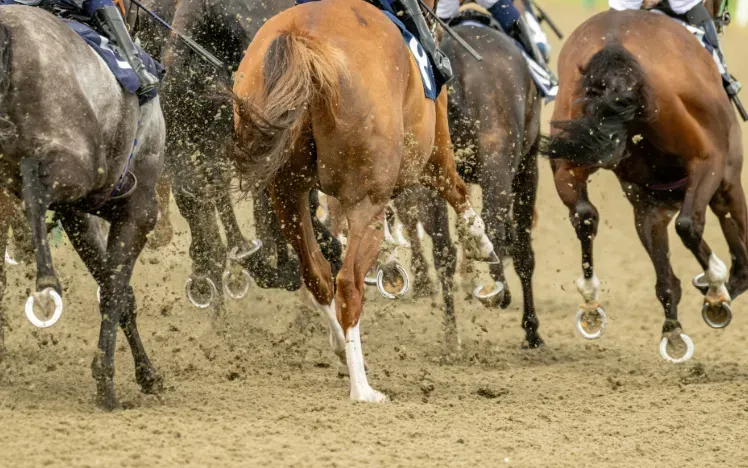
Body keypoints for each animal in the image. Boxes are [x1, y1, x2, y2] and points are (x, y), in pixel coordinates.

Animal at [0, 5, 166, 409]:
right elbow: (116, 292)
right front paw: (107, 379)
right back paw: (46, 276)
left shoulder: (77, 215)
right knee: (34, 188)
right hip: (73, 165)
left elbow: (119, 292)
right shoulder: (139, 213)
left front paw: (146, 373)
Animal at [230, 0, 500, 401]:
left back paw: (343, 350)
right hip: (365, 203)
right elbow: (457, 190)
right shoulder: (433, 149)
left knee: (317, 275)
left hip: (287, 195)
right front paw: (480, 241)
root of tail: (303, 43)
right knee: (348, 284)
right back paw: (362, 388)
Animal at [395, 2, 544, 350]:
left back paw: (452, 336)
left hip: (436, 172)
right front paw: (531, 330)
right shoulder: (527, 166)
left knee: (443, 250)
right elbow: (523, 250)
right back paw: (496, 293)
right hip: (500, 169)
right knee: (497, 230)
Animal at [543, 0, 746, 363]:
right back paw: (715, 284)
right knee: (689, 225)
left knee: (584, 215)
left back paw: (592, 303)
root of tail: (615, 45)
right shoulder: (727, 182)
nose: (724, 17)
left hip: (567, 159)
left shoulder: (648, 205)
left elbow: (665, 276)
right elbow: (741, 253)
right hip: (707, 163)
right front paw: (721, 289)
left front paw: (673, 331)